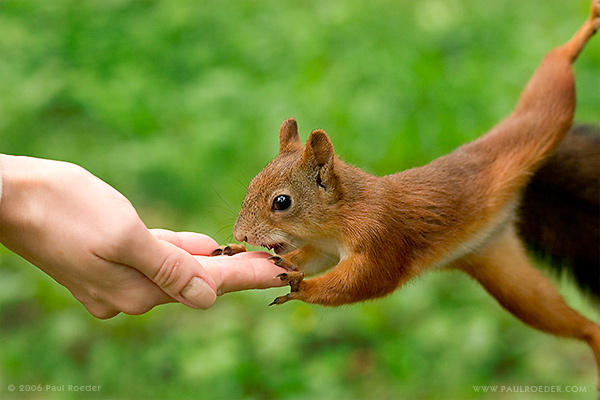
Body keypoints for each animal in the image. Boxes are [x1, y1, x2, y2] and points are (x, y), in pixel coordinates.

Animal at [212, 0, 600, 388]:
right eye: (252, 183)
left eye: (282, 202)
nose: (240, 233)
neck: (341, 215)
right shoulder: (323, 249)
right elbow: (308, 258)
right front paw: (241, 253)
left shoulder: (382, 236)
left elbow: (367, 281)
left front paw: (299, 286)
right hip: (504, 271)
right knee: (567, 319)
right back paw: (593, 338)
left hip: (542, 117)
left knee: (555, 77)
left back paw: (581, 33)